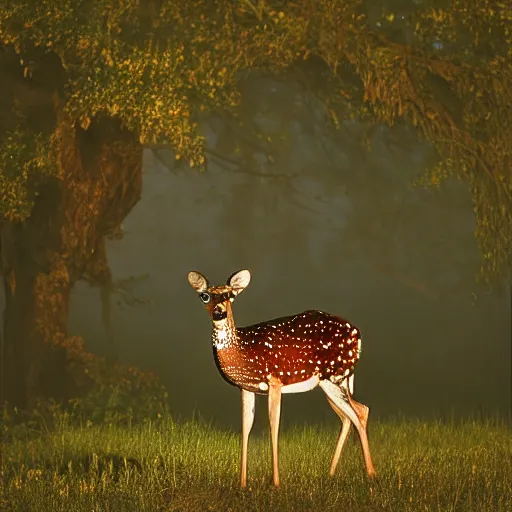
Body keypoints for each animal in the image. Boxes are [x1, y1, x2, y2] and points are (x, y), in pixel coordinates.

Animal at [188, 268, 376, 488]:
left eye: (230, 295)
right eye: (205, 296)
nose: (219, 313)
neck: (241, 351)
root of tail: (357, 333)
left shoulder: (275, 381)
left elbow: (273, 425)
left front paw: (275, 483)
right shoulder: (246, 388)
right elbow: (246, 427)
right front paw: (242, 484)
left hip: (334, 378)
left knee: (358, 413)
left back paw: (371, 474)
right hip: (331, 382)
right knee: (354, 413)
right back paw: (331, 474)